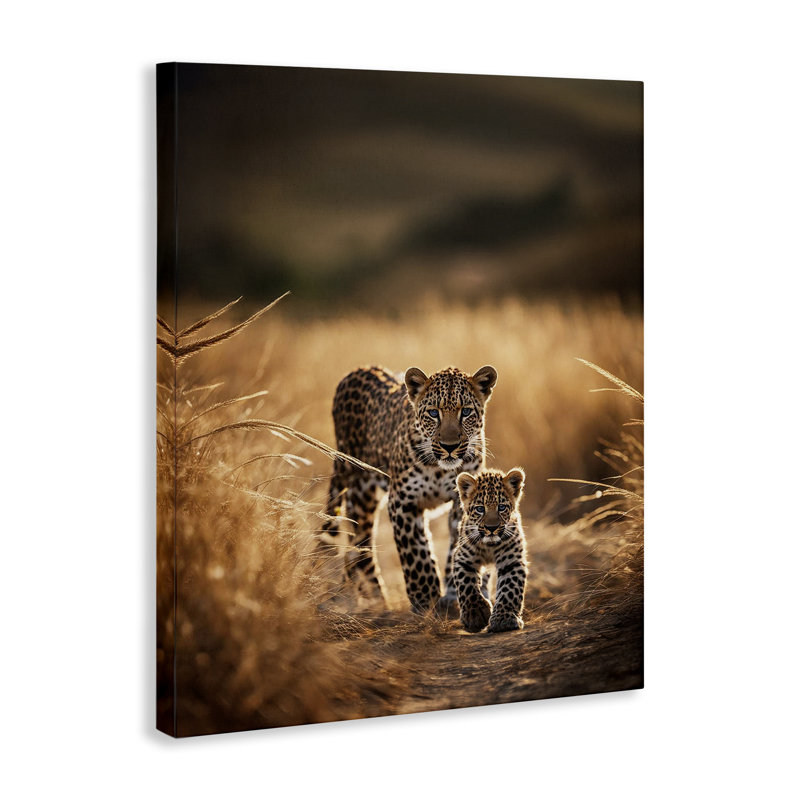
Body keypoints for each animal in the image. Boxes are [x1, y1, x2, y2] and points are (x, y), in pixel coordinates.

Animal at [318, 364, 498, 614]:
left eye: (466, 412)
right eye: (433, 413)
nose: (449, 446)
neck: (440, 470)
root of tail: (358, 369)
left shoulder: (465, 504)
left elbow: (459, 547)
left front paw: (455, 595)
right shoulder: (402, 501)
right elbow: (415, 552)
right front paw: (425, 597)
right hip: (358, 487)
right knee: (362, 542)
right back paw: (376, 600)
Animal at [452, 468, 528, 633]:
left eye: (501, 507)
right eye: (480, 509)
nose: (491, 528)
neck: (489, 547)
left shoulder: (512, 562)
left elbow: (510, 588)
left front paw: (504, 620)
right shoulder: (462, 559)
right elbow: (466, 584)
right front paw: (475, 614)